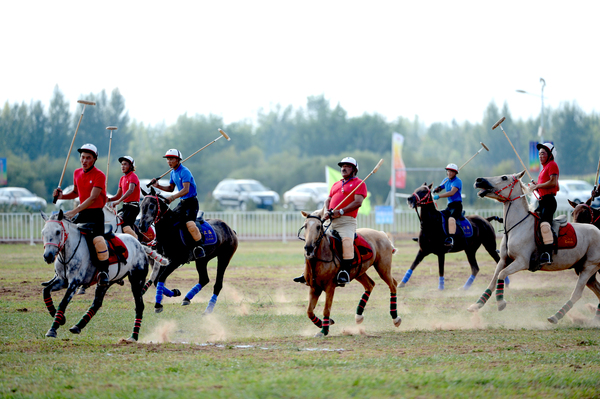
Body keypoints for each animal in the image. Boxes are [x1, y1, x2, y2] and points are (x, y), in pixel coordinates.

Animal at [41, 211, 151, 342]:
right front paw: (59, 318)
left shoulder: (74, 283)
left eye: (58, 231)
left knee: (139, 306)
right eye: (43, 232)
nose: (48, 256)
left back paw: (133, 336)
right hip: (105, 282)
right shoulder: (62, 281)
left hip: (137, 280)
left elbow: (63, 303)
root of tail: (138, 244)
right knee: (97, 303)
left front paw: (52, 329)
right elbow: (46, 291)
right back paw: (77, 326)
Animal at [300, 209, 404, 338]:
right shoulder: (314, 288)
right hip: (358, 272)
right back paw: (359, 316)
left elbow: (326, 309)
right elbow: (309, 311)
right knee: (370, 284)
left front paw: (324, 330)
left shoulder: (330, 286)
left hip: (382, 267)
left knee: (392, 285)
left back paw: (395, 318)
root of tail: (382, 234)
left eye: (319, 226)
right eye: (305, 226)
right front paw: (326, 324)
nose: (309, 248)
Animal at [468, 172, 600, 324]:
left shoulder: (522, 262)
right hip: (582, 268)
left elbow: (501, 274)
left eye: (504, 177)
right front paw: (476, 305)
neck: (518, 226)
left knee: (577, 293)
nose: (479, 180)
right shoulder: (504, 259)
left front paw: (500, 303)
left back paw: (556, 316)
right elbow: (493, 280)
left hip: (589, 267)